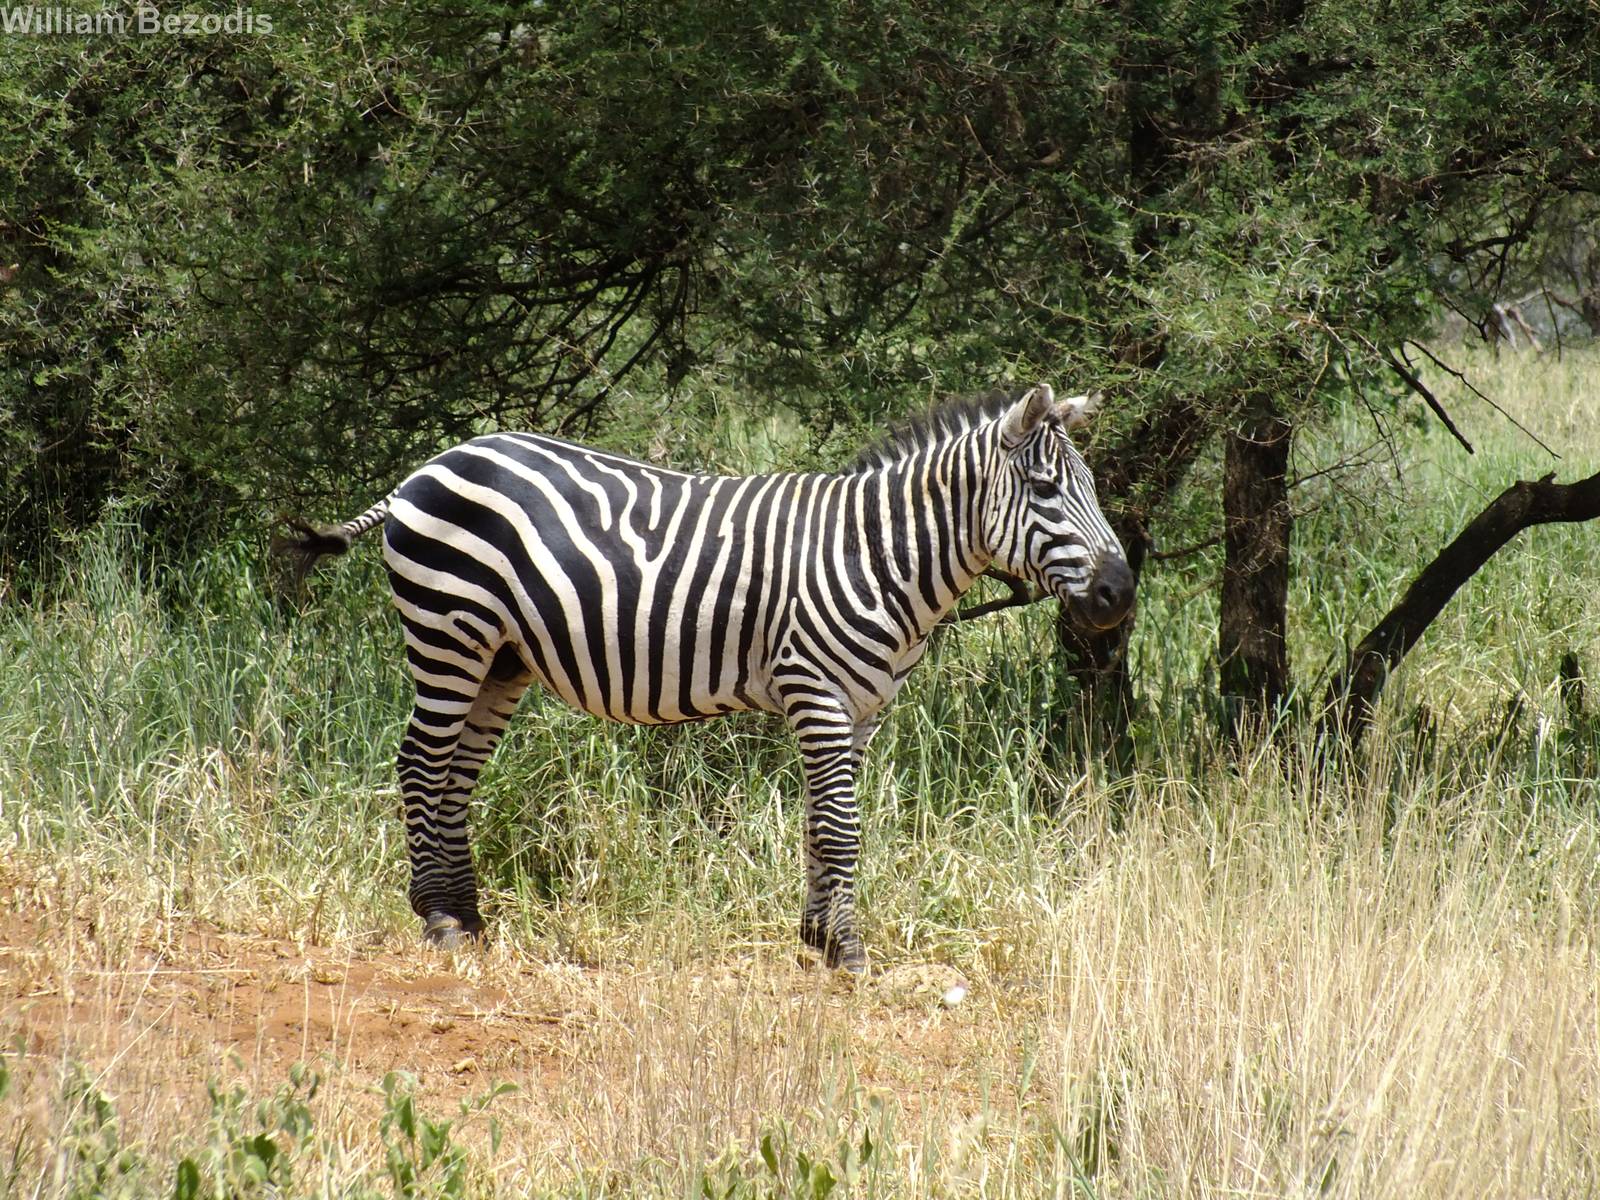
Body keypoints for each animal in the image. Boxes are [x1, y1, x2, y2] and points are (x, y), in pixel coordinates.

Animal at [276, 383, 1134, 972]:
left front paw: (817, 936)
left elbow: (822, 823)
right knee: (420, 764)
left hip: (501, 657)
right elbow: (841, 827)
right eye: (1048, 491)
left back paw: (468, 914)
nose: (1120, 594)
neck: (878, 555)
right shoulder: (817, 692)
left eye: (1093, 490)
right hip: (448, 630)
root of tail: (430, 465)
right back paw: (439, 921)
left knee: (454, 774)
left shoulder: (861, 709)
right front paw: (847, 951)